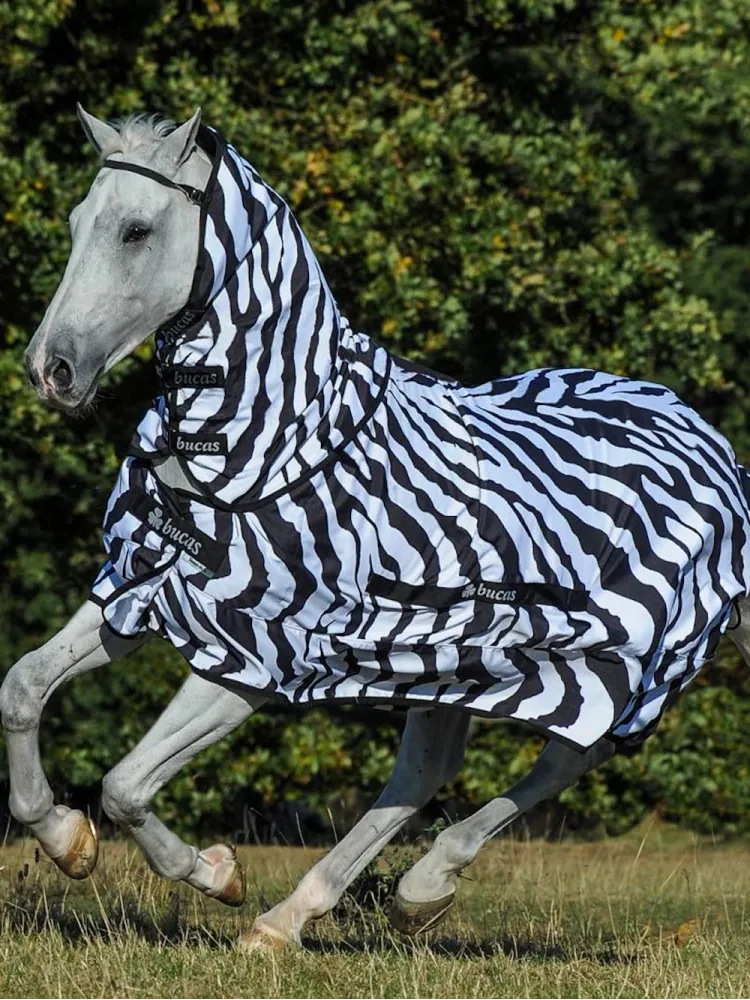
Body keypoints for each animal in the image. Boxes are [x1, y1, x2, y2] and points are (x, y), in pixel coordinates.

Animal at [3, 106, 750, 951]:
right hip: (453, 662)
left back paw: (414, 888)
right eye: (76, 222)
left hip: (610, 663)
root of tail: (710, 442)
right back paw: (297, 917)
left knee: (564, 759)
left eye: (136, 231)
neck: (267, 439)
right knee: (424, 774)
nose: (49, 370)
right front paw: (65, 840)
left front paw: (216, 873)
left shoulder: (257, 650)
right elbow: (22, 688)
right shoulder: (144, 585)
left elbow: (126, 785)